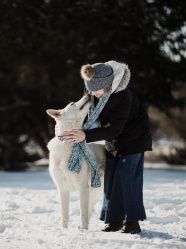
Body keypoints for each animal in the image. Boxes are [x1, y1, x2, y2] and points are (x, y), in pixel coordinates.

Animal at [46, 95, 105, 230]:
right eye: (72, 103)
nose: (88, 94)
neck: (68, 145)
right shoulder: (62, 189)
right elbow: (65, 214)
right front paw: (64, 230)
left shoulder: (82, 187)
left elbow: (82, 213)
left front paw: (84, 231)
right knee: (91, 209)